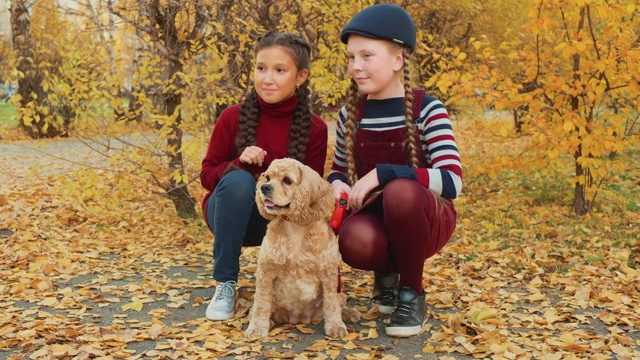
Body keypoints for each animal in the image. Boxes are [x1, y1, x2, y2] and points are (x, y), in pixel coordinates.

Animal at [244, 158, 360, 340]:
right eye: (267, 177)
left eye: (287, 180)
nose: (264, 187)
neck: (295, 227)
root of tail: (299, 319)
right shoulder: (266, 270)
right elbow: (261, 304)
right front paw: (256, 328)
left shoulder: (329, 272)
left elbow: (332, 304)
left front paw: (336, 326)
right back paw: (269, 321)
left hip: (340, 291)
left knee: (339, 302)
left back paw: (349, 313)